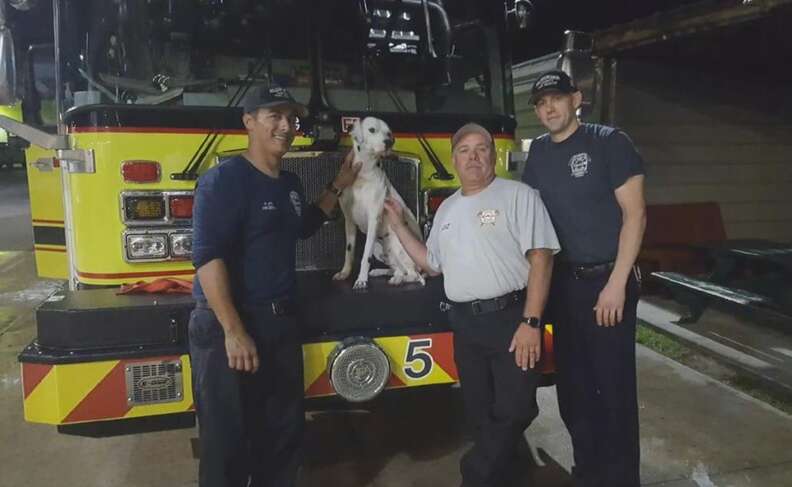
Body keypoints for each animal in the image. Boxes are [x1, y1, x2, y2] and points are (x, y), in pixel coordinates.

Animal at [332, 117, 424, 290]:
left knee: (414, 275)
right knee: (398, 269)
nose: (389, 142)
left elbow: (365, 256)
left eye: (389, 133)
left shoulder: (373, 220)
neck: (363, 174)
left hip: (396, 245)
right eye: (372, 130)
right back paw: (386, 273)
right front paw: (344, 273)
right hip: (380, 249)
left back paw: (400, 279)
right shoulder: (349, 221)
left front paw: (361, 280)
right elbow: (349, 252)